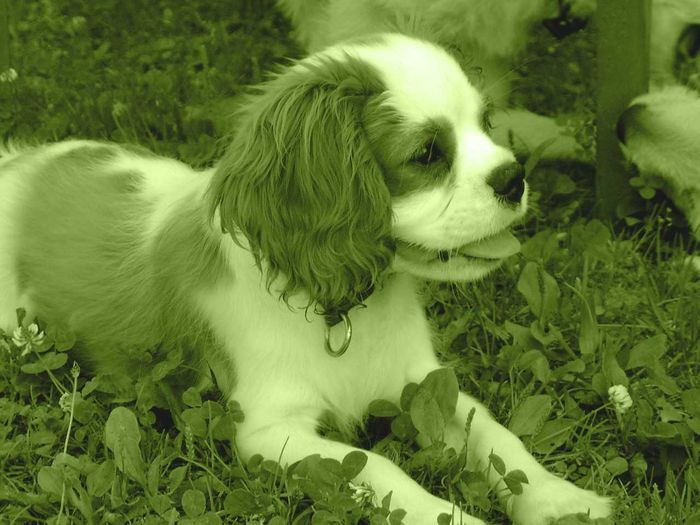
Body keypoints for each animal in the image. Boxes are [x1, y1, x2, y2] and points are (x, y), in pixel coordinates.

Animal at [0, 34, 608, 520]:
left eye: (486, 125)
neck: (346, 308)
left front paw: (560, 499)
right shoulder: (270, 430)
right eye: (426, 154)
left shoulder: (423, 385)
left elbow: (496, 434)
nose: (514, 176)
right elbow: (376, 468)